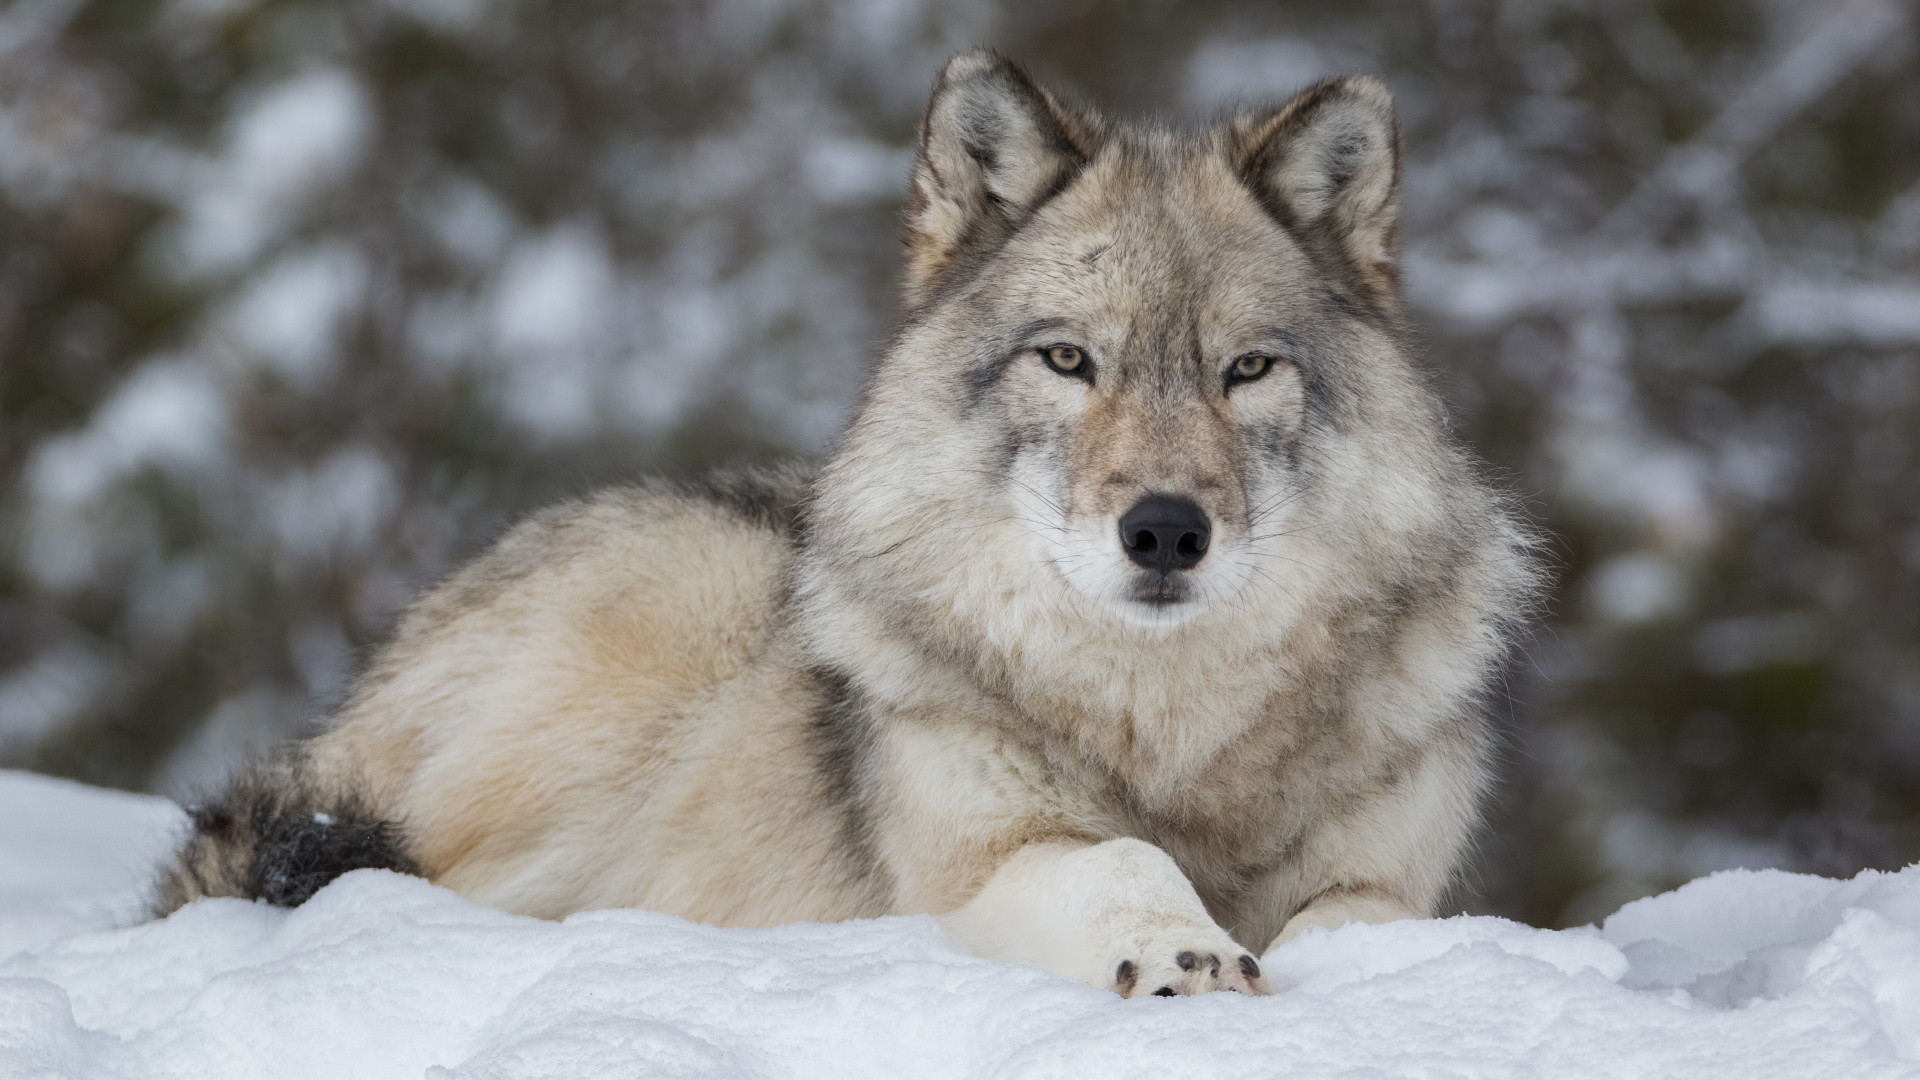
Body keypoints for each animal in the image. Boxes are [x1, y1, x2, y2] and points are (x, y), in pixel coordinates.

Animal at [165, 48, 1543, 991]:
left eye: (1246, 371)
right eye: (1069, 361)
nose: (1163, 531)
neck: (1172, 739)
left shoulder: (1388, 876)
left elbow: (1372, 920)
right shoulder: (976, 866)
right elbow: (1122, 862)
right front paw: (1181, 953)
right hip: (666, 635)